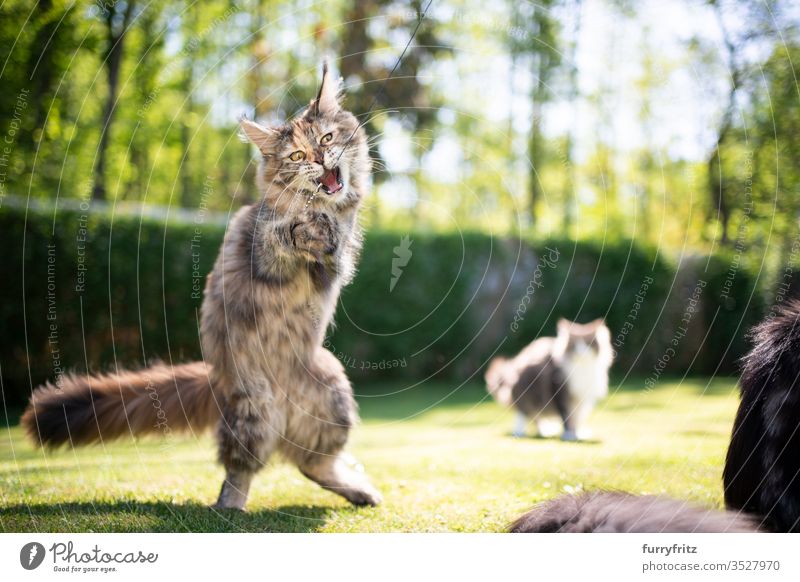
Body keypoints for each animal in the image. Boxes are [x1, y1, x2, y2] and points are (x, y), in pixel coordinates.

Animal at [18, 62, 382, 512]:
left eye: (327, 139)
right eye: (297, 156)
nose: (318, 158)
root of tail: (216, 380)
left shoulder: (335, 262)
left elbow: (332, 246)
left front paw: (320, 226)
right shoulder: (258, 249)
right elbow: (279, 237)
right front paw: (299, 227)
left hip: (333, 397)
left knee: (311, 463)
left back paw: (359, 491)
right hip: (253, 409)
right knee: (243, 467)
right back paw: (229, 508)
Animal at [484, 320, 616, 442]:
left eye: (588, 343)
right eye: (574, 345)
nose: (580, 352)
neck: (582, 368)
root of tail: (516, 362)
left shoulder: (581, 398)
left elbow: (577, 418)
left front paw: (578, 433)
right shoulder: (559, 392)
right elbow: (567, 416)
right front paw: (569, 435)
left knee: (535, 417)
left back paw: (544, 431)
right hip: (527, 391)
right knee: (523, 413)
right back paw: (520, 432)